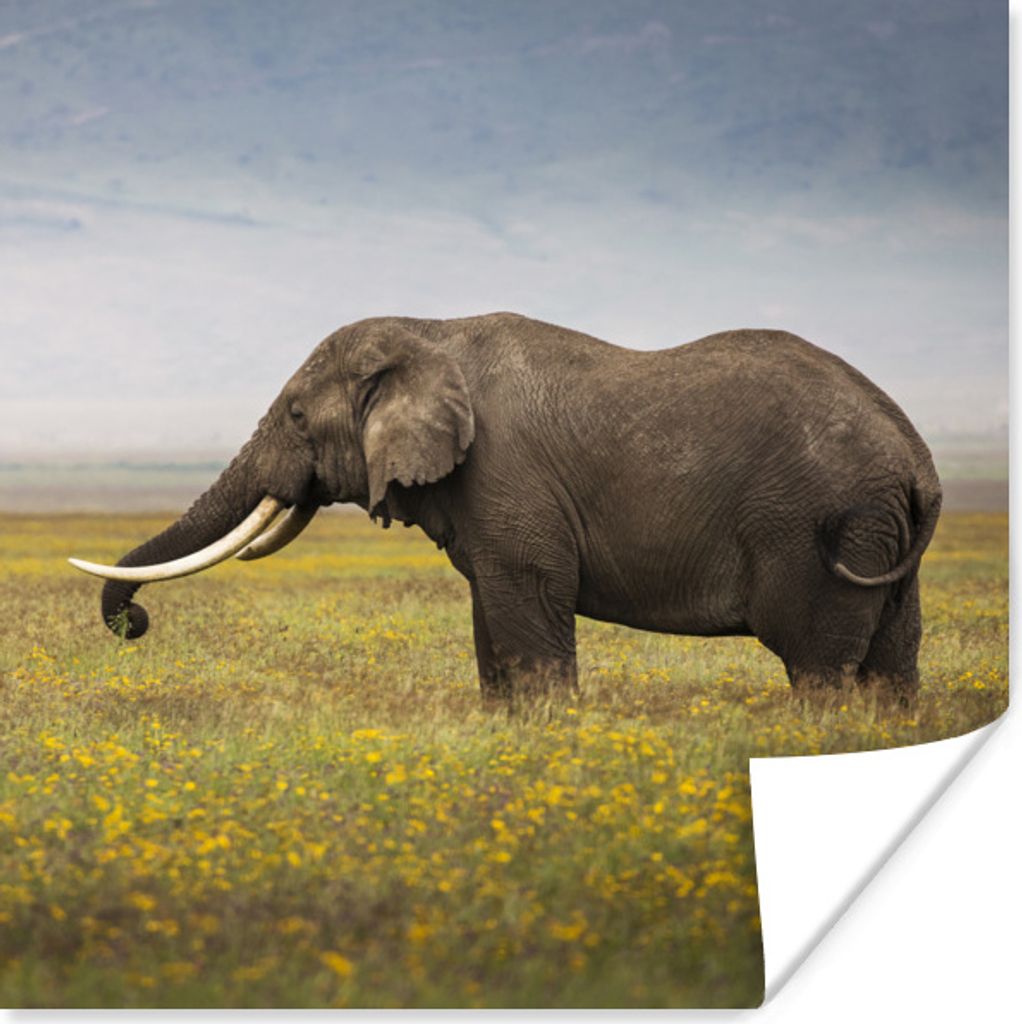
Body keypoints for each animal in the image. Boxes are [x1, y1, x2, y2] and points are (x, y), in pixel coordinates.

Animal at [71, 312, 942, 705]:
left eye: (293, 416)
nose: (134, 624)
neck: (429, 332)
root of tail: (917, 458)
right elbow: (491, 621)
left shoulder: (508, 480)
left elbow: (527, 608)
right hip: (882, 537)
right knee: (891, 666)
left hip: (821, 531)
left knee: (818, 668)